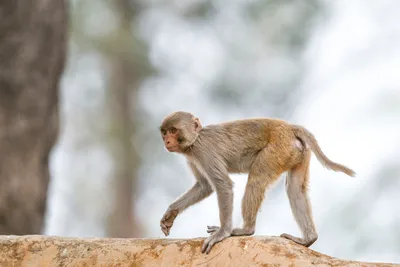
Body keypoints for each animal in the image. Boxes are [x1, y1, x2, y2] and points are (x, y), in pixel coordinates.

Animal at [158, 111, 354, 255]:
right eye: (165, 132)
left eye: (173, 130)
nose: (167, 141)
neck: (195, 139)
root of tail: (290, 127)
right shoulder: (193, 157)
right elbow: (204, 186)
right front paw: (171, 213)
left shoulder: (203, 151)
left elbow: (223, 185)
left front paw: (223, 232)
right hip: (297, 152)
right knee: (295, 189)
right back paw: (308, 238)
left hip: (277, 149)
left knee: (256, 179)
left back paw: (245, 229)